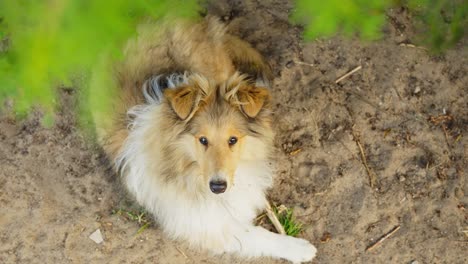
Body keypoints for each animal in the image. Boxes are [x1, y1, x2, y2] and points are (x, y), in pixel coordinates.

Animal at [99, 16, 318, 262]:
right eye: (202, 140)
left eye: (233, 140)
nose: (218, 186)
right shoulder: (206, 225)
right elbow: (256, 234)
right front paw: (300, 248)